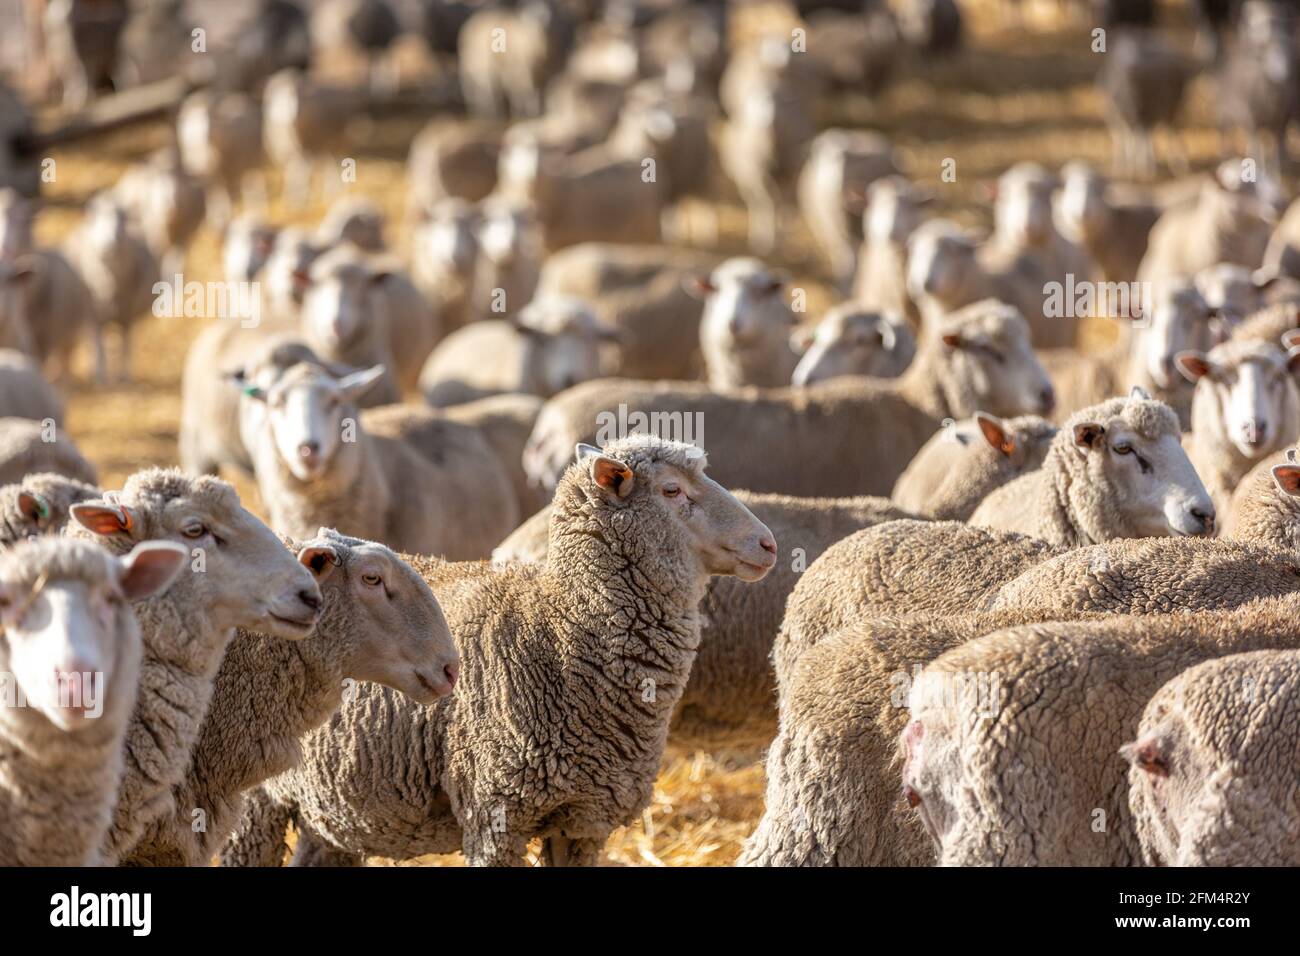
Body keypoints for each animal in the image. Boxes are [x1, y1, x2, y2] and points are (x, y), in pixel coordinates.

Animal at [63, 194, 160, 383]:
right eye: (99, 220)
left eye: (122, 219)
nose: (110, 244)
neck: (110, 286)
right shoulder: (93, 315)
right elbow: (99, 347)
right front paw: (101, 377)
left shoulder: (127, 315)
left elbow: (126, 345)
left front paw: (125, 377)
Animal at [222, 435, 778, 866]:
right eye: (672, 490)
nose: (768, 544)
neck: (561, 631)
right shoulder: (496, 812)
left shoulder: (583, 820)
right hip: (253, 802)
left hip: (329, 810)